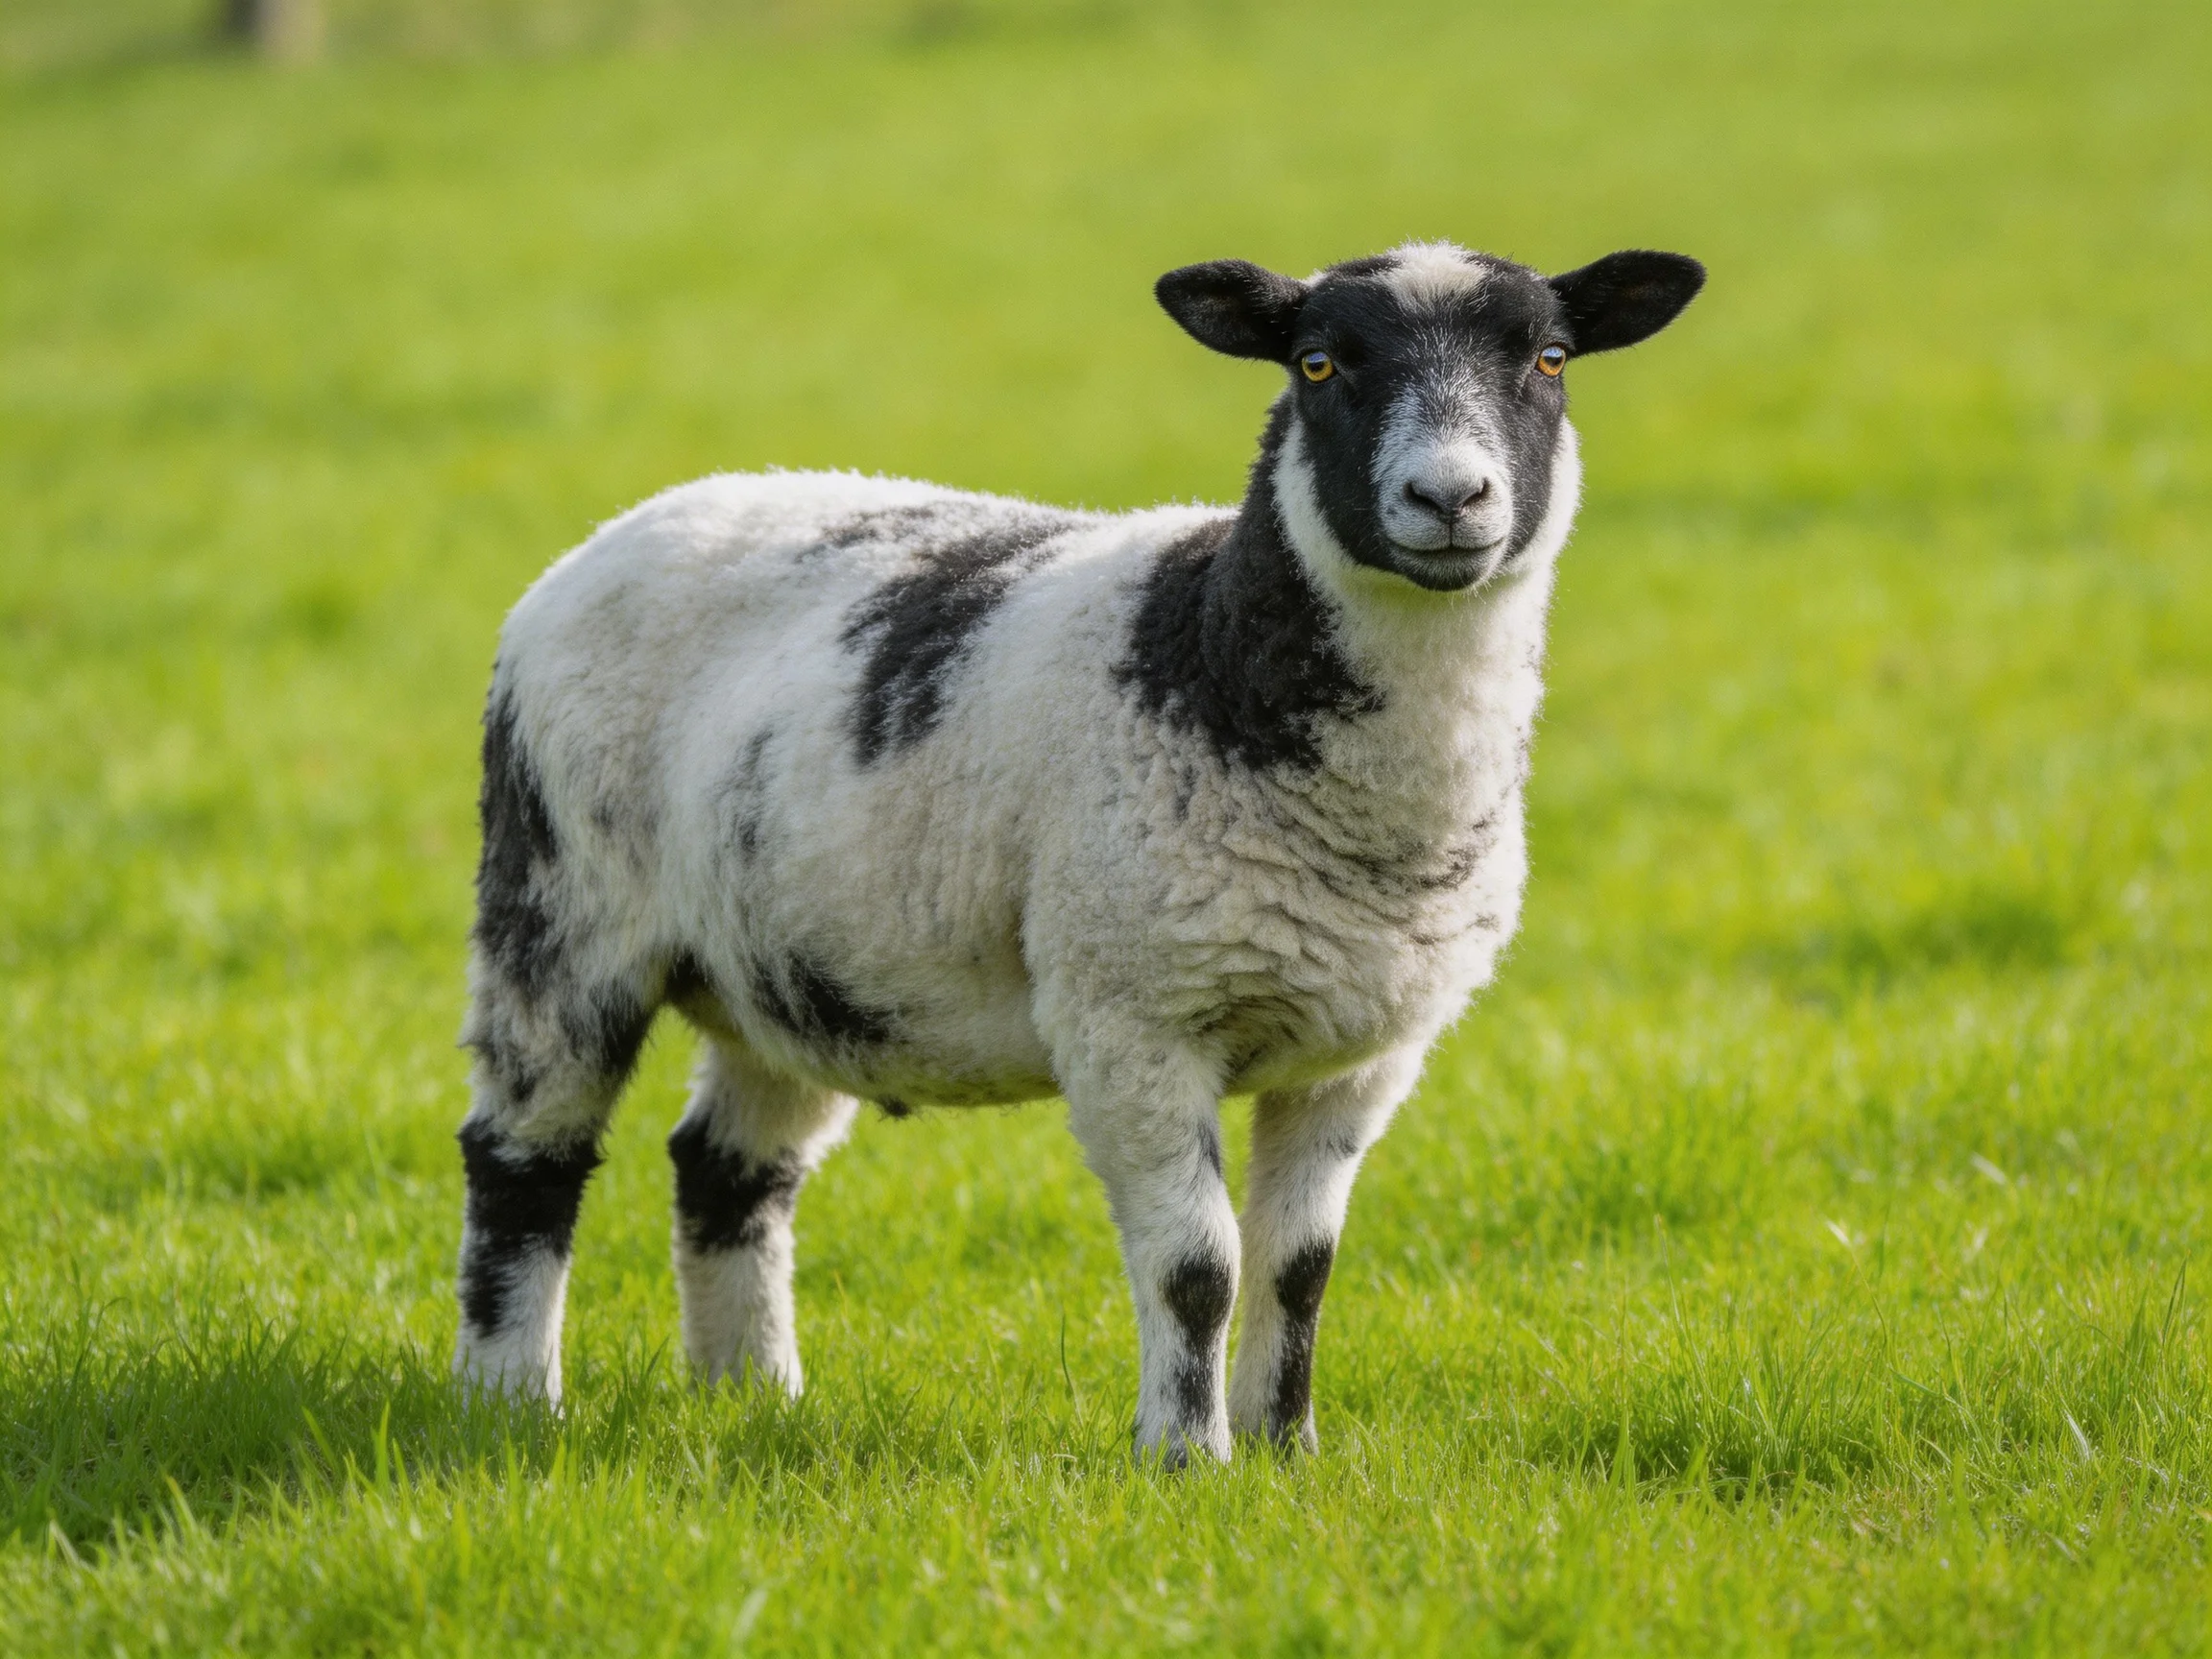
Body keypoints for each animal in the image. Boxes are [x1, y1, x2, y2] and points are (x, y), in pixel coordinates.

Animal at [451, 239, 1704, 1463]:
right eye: (1317, 365)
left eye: (1548, 359)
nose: (1449, 496)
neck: (1211, 651)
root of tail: (633, 523)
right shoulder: (1131, 1018)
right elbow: (1199, 1266)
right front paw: (1186, 1459)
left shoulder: (1363, 1051)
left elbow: (1300, 1270)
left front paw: (1287, 1447)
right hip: (560, 898)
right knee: (523, 1158)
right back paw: (509, 1400)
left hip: (787, 963)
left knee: (726, 1167)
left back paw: (752, 1397)